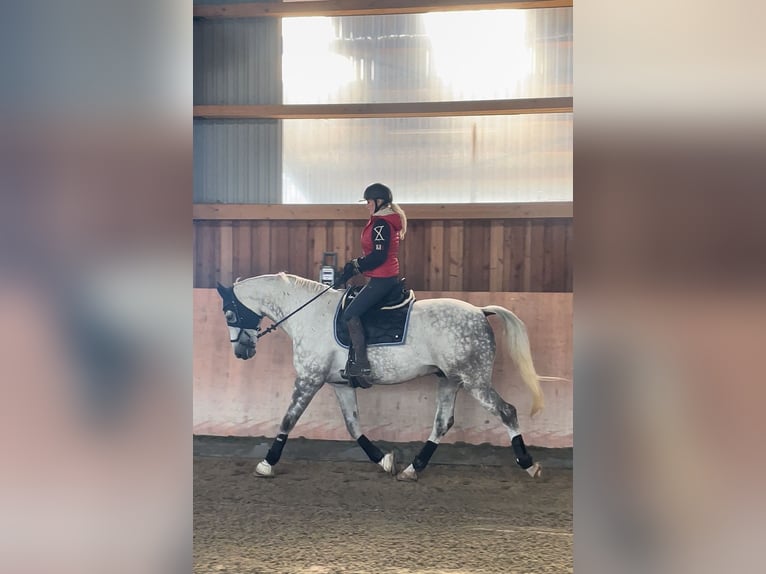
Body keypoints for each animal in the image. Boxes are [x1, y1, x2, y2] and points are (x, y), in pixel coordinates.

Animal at [216, 274, 548, 482]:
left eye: (229, 314)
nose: (242, 352)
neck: (309, 315)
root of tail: (480, 311)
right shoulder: (339, 384)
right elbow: (353, 426)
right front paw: (383, 460)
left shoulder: (309, 379)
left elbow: (288, 420)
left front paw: (266, 463)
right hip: (450, 379)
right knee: (442, 423)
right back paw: (412, 469)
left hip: (474, 379)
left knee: (507, 411)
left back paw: (529, 465)